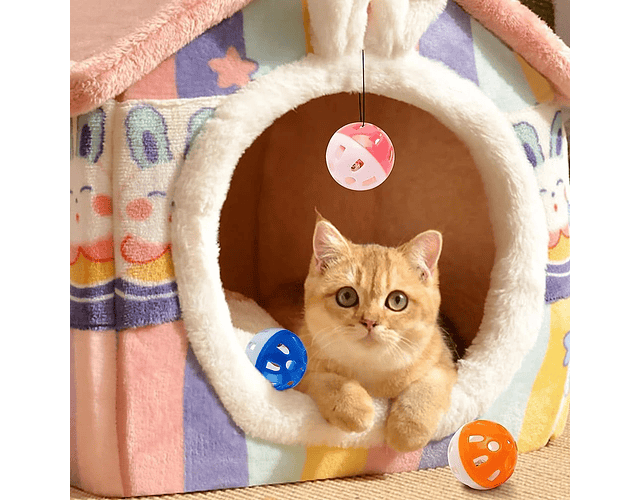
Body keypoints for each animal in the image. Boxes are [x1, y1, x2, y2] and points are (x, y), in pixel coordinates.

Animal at [295, 213, 457, 452]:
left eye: (398, 300)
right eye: (346, 296)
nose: (370, 321)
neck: (371, 366)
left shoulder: (443, 361)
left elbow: (428, 386)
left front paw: (408, 430)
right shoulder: (302, 367)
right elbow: (327, 380)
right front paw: (353, 407)